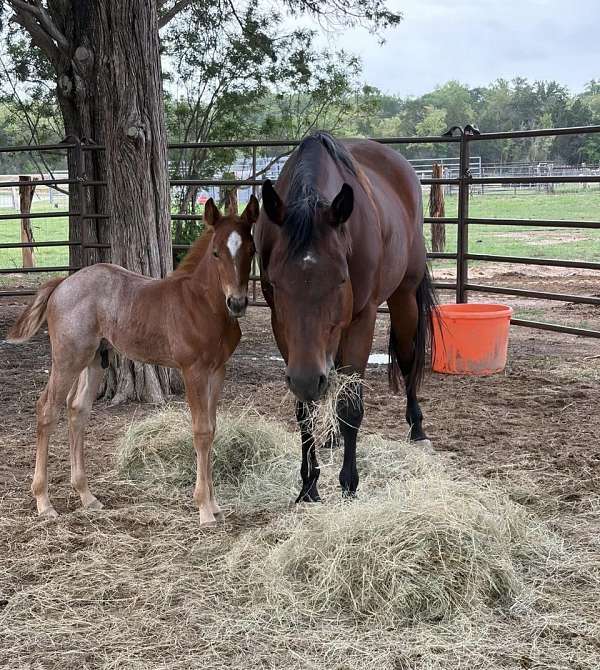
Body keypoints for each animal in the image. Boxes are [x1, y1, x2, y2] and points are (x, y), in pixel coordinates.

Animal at [7, 196, 259, 525]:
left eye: (251, 250)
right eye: (216, 252)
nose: (237, 302)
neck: (202, 304)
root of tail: (62, 283)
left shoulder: (218, 371)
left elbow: (213, 428)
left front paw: (215, 505)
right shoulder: (193, 370)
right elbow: (201, 432)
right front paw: (204, 509)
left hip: (94, 359)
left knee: (77, 409)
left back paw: (86, 495)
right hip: (68, 357)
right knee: (47, 408)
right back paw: (44, 502)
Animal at [254, 131, 436, 503]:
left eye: (340, 279)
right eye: (276, 283)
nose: (307, 379)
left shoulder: (361, 320)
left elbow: (351, 405)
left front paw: (348, 484)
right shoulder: (283, 329)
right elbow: (305, 411)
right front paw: (309, 485)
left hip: (404, 296)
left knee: (408, 359)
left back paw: (417, 429)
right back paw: (332, 437)